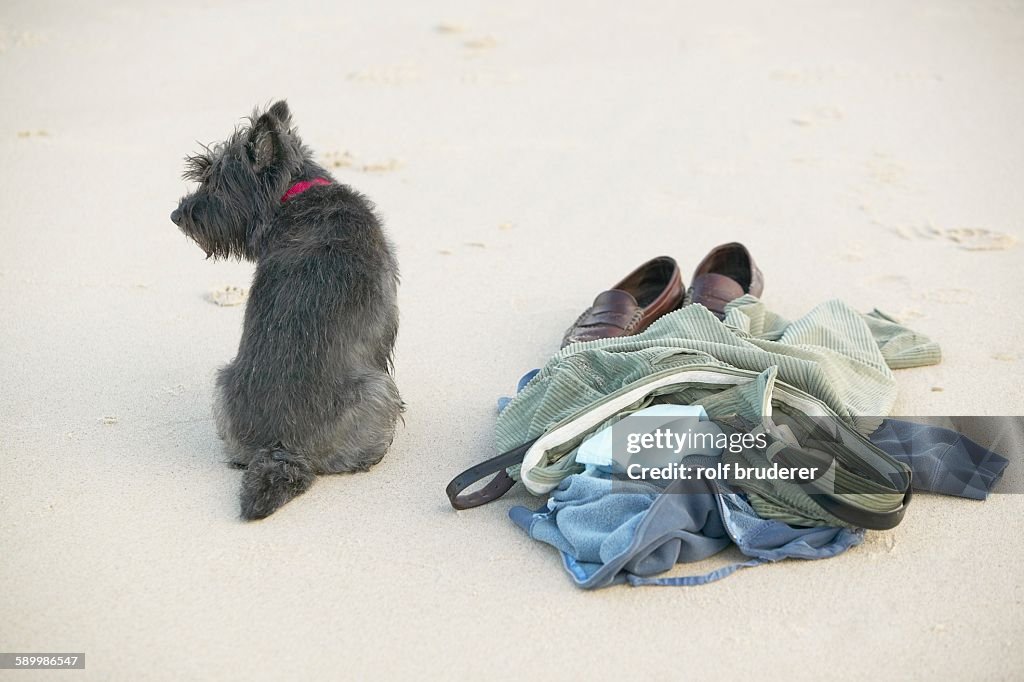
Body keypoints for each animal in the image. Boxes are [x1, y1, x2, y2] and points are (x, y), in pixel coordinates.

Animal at [169, 99, 401, 516]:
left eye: (218, 182)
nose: (178, 215)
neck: (295, 194)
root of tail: (281, 445)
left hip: (222, 381)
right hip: (380, 391)